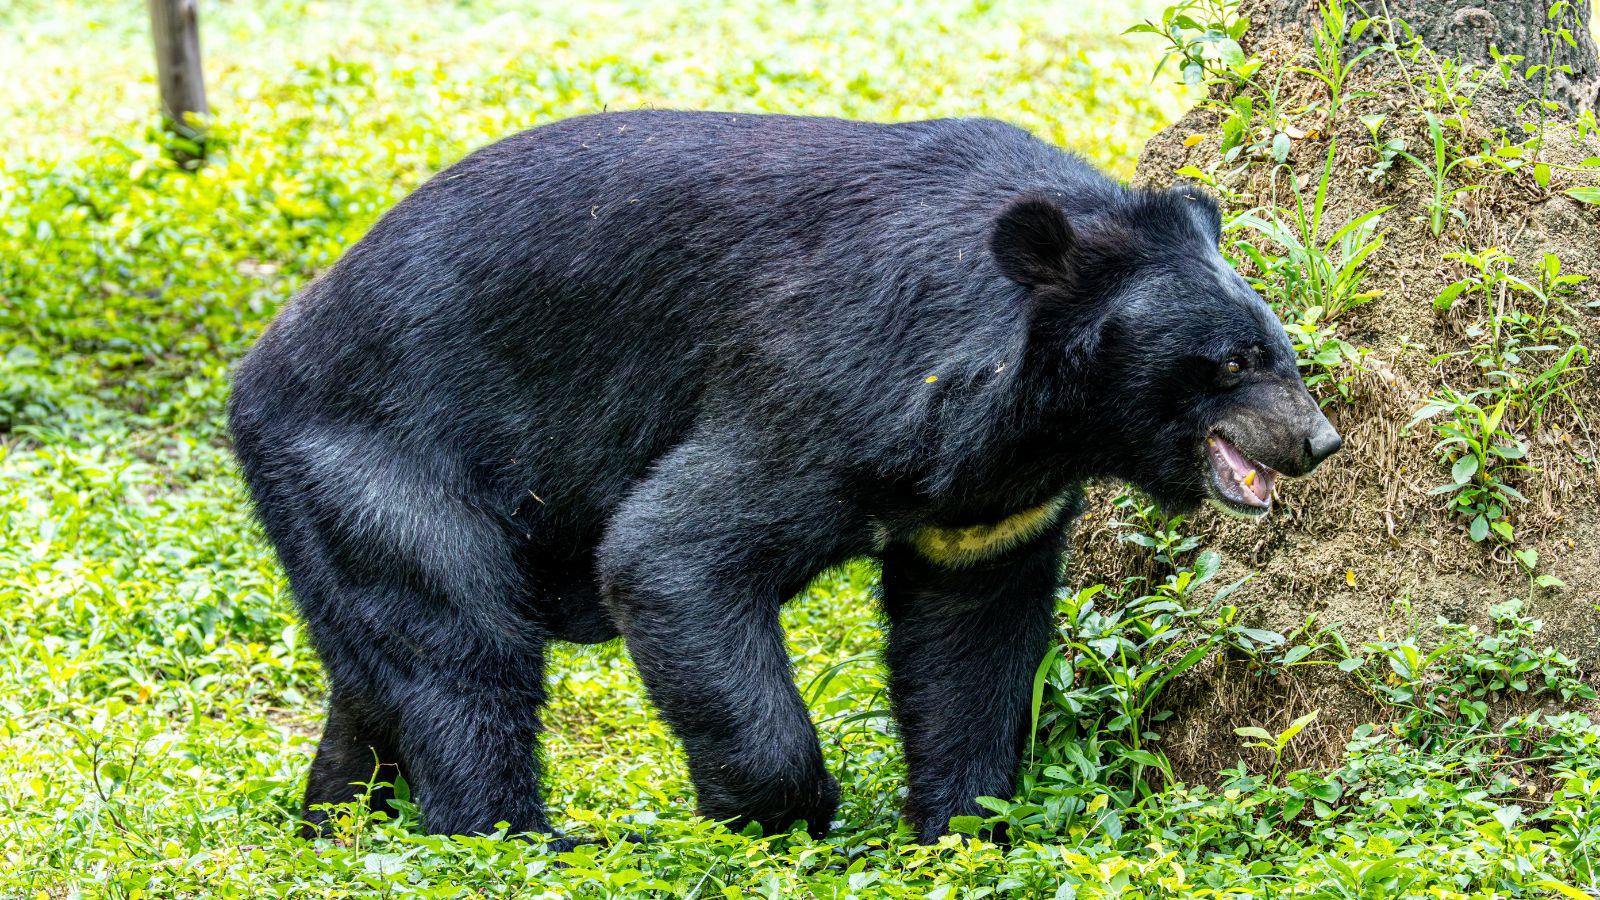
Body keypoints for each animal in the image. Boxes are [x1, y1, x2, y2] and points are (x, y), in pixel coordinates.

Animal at [227, 110, 1341, 844]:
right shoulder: (825, 380)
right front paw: (783, 815)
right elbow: (673, 551)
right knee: (462, 655)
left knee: (379, 671)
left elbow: (970, 641)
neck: (1040, 417)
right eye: (1232, 362)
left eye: (1283, 352)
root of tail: (259, 366)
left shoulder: (987, 504)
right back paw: (510, 838)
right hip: (380, 457)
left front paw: (965, 825)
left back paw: (335, 818)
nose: (1316, 443)